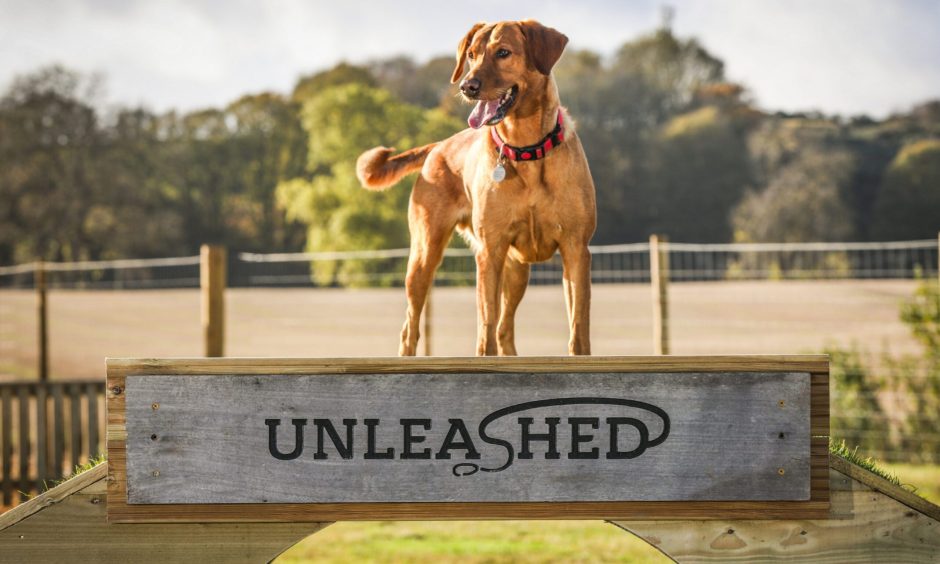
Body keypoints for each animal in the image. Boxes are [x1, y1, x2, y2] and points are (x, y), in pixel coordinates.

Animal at [356, 20, 600, 356]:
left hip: (516, 269)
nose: (466, 87)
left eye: (503, 52)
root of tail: (439, 145)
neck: (525, 150)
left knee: (504, 328)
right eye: (471, 55)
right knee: (411, 326)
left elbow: (578, 326)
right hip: (424, 255)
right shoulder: (490, 251)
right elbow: (485, 325)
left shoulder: (575, 248)